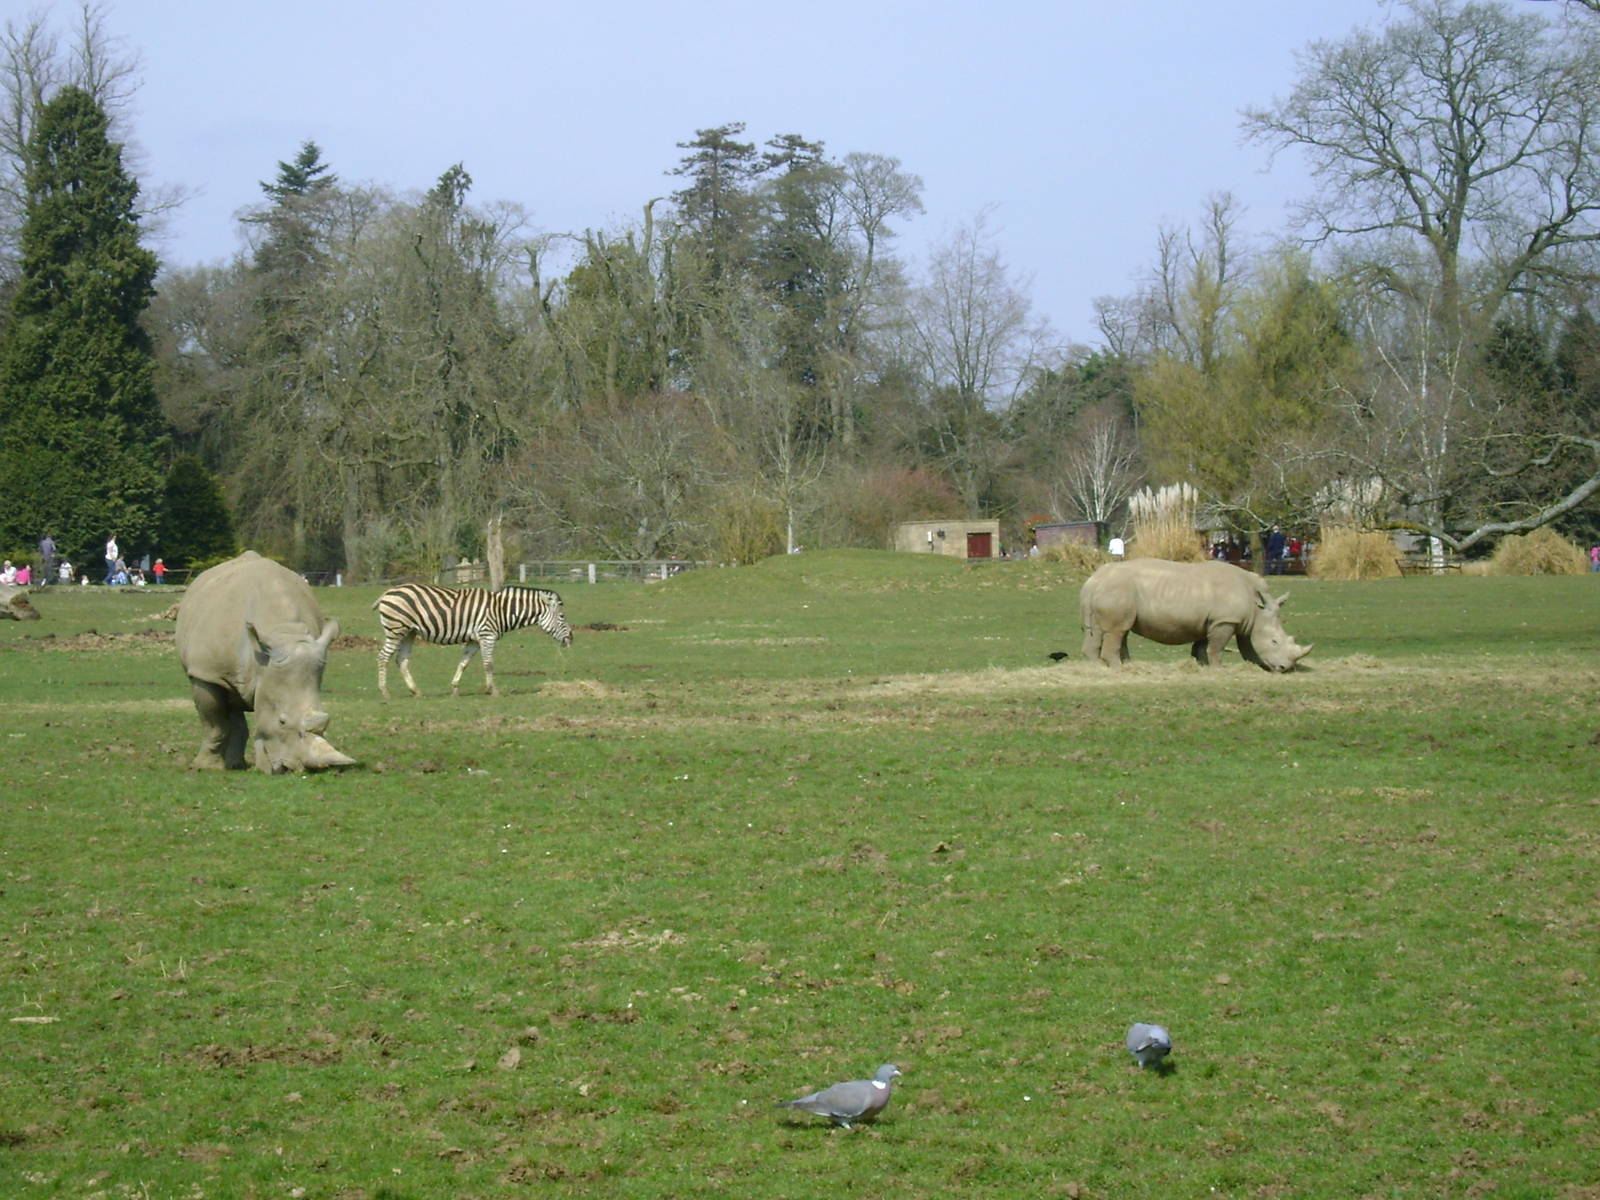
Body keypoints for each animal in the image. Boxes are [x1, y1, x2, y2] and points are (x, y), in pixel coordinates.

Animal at [175, 551, 356, 773]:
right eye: (282, 721)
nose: (292, 769)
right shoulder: (207, 672)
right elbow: (215, 723)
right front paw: (206, 767)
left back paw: (236, 765)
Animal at [374, 583, 572, 698]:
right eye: (562, 616)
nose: (571, 638)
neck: (501, 611)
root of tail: (387, 593)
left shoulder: (474, 640)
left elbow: (464, 663)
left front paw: (454, 688)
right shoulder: (487, 635)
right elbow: (489, 664)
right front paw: (493, 690)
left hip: (409, 632)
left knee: (401, 659)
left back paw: (415, 691)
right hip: (396, 629)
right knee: (383, 657)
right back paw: (385, 691)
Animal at [1079, 557, 1312, 671]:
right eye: (1274, 641)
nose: (1285, 668)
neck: (1257, 608)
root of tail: (1093, 579)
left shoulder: (1218, 620)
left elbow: (1208, 644)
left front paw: (1204, 665)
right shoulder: (1225, 621)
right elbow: (1217, 647)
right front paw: (1219, 669)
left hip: (1111, 590)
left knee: (1103, 631)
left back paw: (1102, 667)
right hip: (1118, 590)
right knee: (1118, 630)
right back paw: (1118, 669)